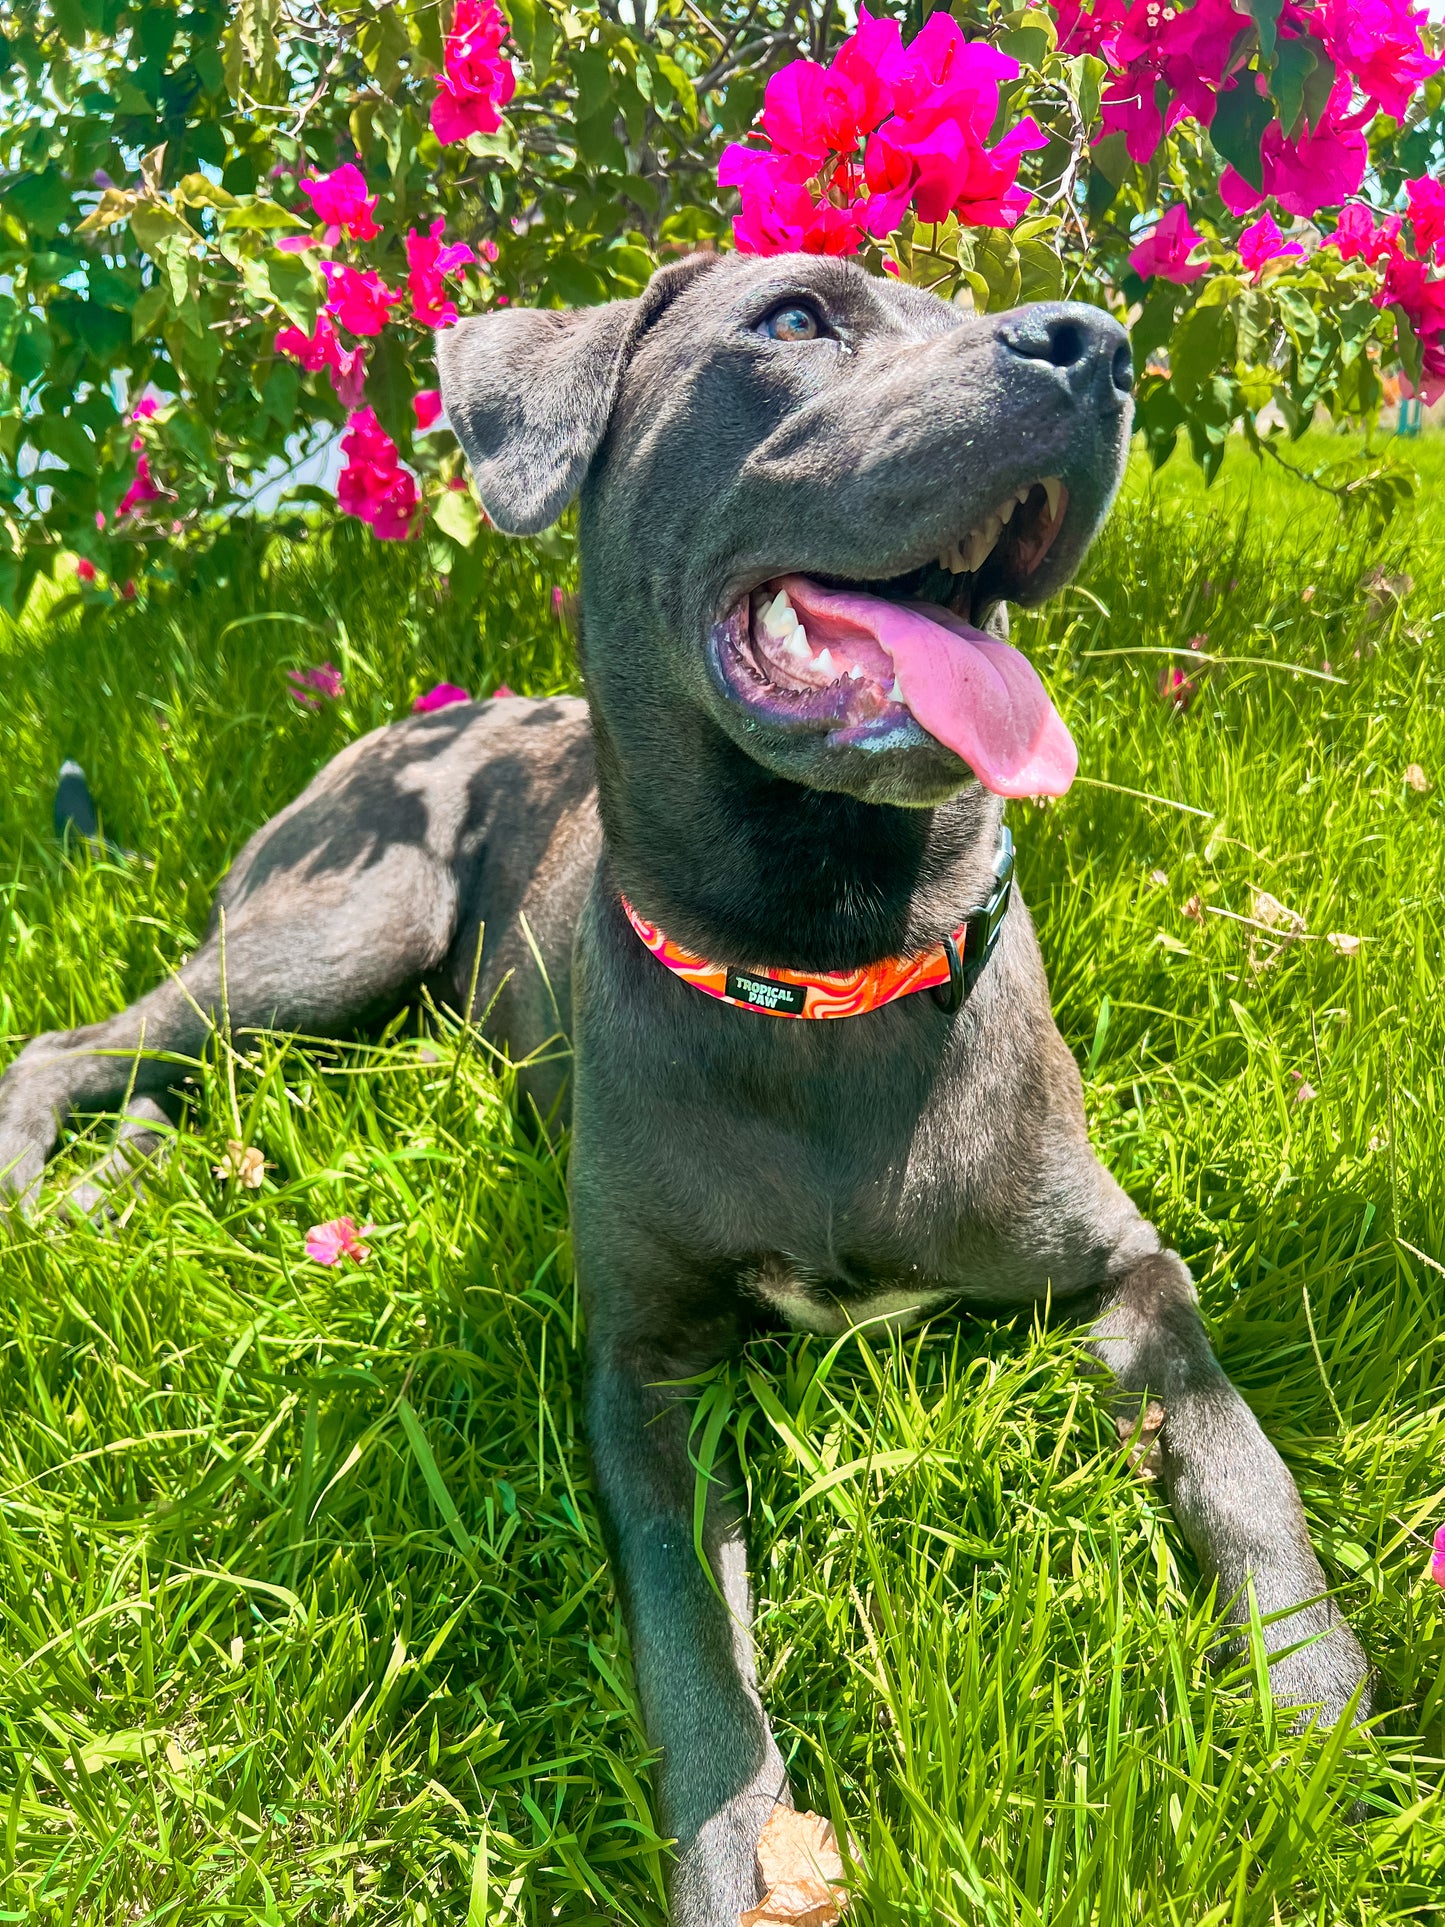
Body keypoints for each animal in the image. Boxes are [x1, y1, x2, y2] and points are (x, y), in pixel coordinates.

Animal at [0, 252, 1371, 1911]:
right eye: (795, 320)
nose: (1095, 345)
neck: (824, 968)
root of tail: (402, 720)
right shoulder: (644, 1368)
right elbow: (688, 1635)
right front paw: (738, 1856)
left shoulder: (1127, 1263)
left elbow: (1241, 1462)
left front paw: (1315, 1711)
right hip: (349, 920)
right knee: (80, 1044)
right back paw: (48, 1179)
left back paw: (121, 1178)